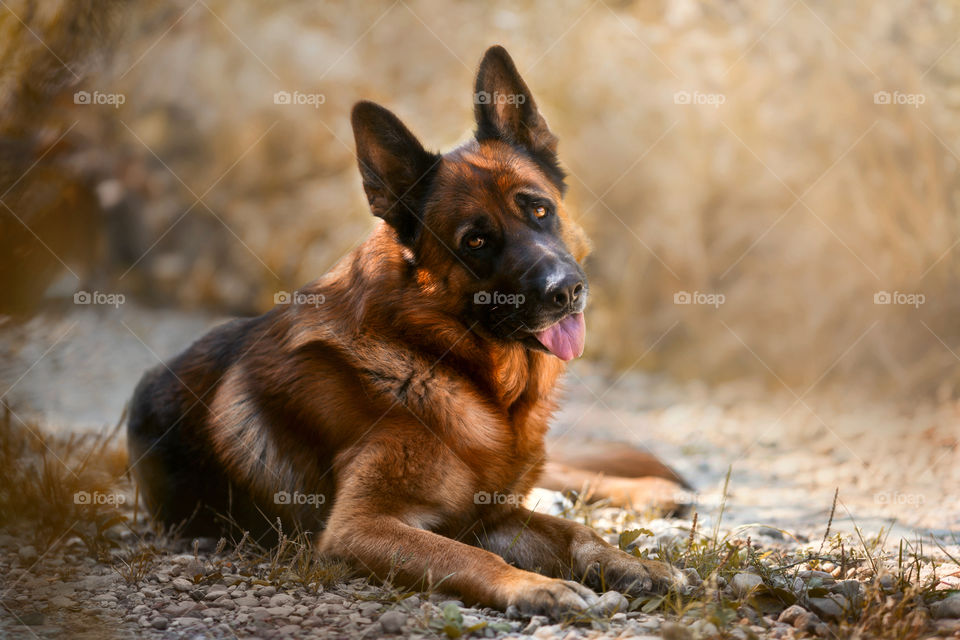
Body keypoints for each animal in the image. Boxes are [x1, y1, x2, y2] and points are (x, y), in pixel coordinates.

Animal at [131, 46, 688, 620]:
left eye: (539, 209)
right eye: (476, 241)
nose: (567, 291)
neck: (445, 363)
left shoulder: (491, 513)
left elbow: (579, 532)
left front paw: (632, 563)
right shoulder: (362, 528)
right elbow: (469, 556)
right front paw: (537, 586)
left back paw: (653, 490)